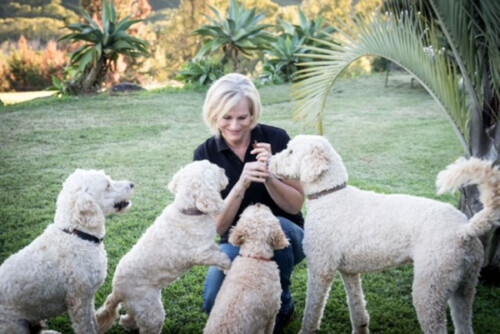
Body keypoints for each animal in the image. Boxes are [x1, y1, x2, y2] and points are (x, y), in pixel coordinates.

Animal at [0, 170, 135, 334]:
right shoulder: (79, 300)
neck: (77, 235)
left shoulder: (88, 298)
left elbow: (94, 321)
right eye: (108, 185)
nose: (132, 184)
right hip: (14, 326)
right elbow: (87, 327)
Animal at [96, 160, 233, 332]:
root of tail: (117, 290)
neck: (188, 212)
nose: (224, 171)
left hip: (142, 306)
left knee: (127, 319)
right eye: (216, 170)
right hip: (150, 309)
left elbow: (219, 251)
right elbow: (221, 258)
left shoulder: (209, 245)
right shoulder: (200, 254)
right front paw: (229, 266)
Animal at [270, 135, 500, 334]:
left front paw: (305, 330)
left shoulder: (320, 269)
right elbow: (357, 308)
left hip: (431, 289)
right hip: (465, 287)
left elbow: (312, 312)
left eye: (290, 151)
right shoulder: (349, 272)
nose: (269, 161)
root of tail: (465, 229)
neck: (330, 196)